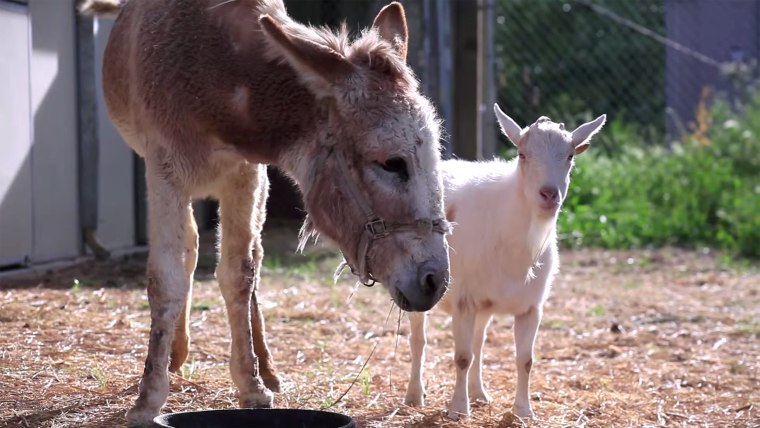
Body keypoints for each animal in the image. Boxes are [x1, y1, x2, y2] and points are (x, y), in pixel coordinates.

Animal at [404, 104, 604, 422]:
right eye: (522, 154)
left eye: (570, 156)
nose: (549, 194)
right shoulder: (464, 301)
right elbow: (461, 357)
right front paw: (458, 410)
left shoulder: (530, 307)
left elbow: (525, 360)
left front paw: (523, 411)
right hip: (416, 284)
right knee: (418, 340)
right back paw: (414, 395)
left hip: (486, 302)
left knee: (478, 341)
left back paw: (479, 393)